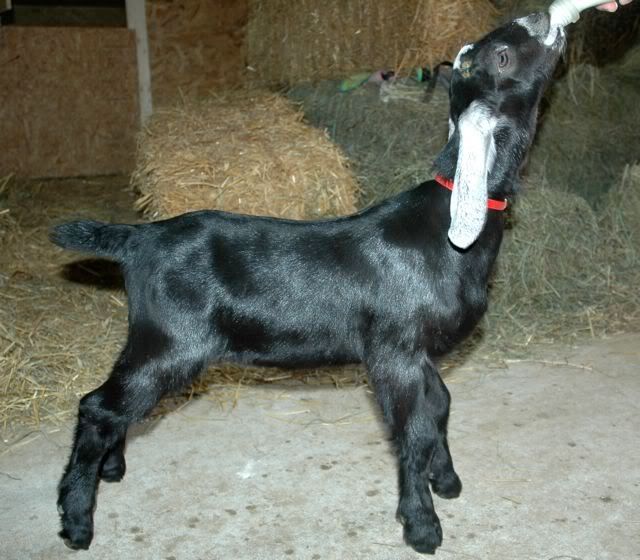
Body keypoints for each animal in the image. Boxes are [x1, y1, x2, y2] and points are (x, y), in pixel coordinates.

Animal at [50, 12, 565, 554]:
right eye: (502, 55)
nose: (542, 18)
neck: (446, 231)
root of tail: (138, 237)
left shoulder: (419, 353)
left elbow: (440, 407)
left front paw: (445, 481)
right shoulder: (395, 351)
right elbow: (414, 431)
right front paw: (422, 526)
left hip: (150, 339)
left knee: (114, 404)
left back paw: (110, 468)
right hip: (172, 342)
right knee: (98, 407)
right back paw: (77, 521)